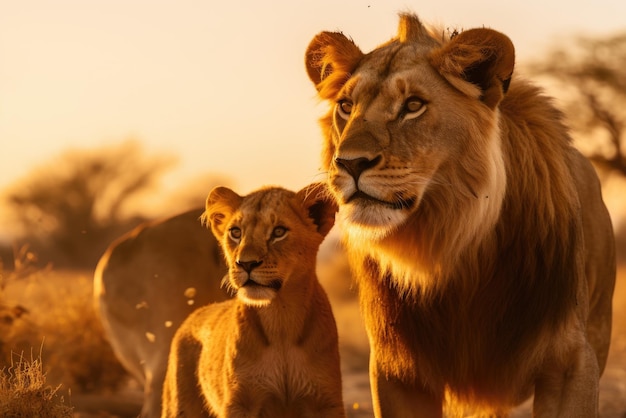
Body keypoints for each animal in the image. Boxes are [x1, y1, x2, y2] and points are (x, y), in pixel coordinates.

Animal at [161, 184, 344, 418]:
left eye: (278, 232)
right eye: (236, 232)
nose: (246, 264)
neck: (280, 318)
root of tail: (193, 315)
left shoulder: (325, 401)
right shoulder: (241, 402)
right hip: (178, 405)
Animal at [304, 13, 616, 418]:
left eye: (413, 105)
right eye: (346, 106)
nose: (349, 163)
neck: (450, 247)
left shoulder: (571, 361)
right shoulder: (397, 368)